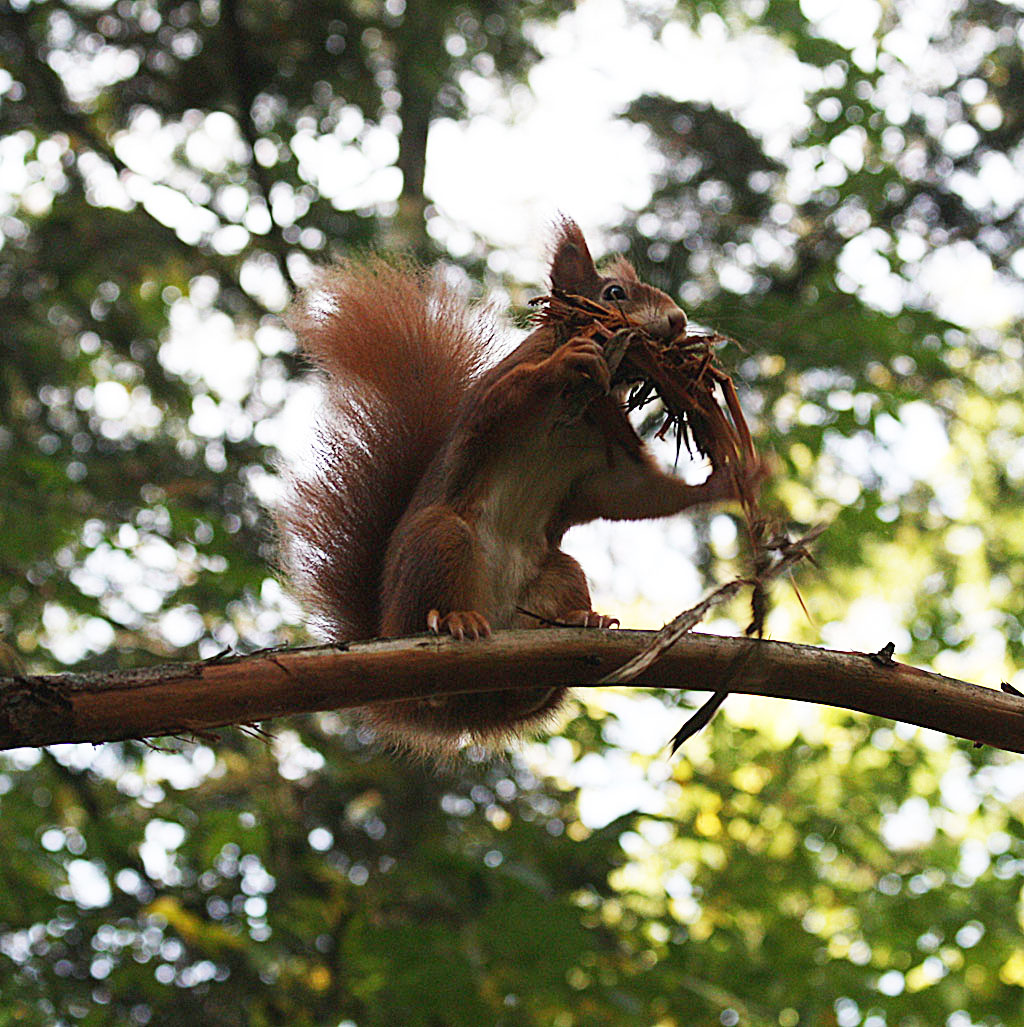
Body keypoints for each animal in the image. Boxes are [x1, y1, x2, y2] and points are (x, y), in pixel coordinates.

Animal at [279, 218, 751, 755]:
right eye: (614, 293)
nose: (677, 320)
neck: (583, 403)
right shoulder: (491, 400)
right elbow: (511, 393)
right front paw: (570, 359)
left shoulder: (603, 457)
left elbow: (634, 493)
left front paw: (733, 479)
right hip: (440, 540)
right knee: (434, 599)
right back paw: (454, 621)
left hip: (557, 574)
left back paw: (579, 624)